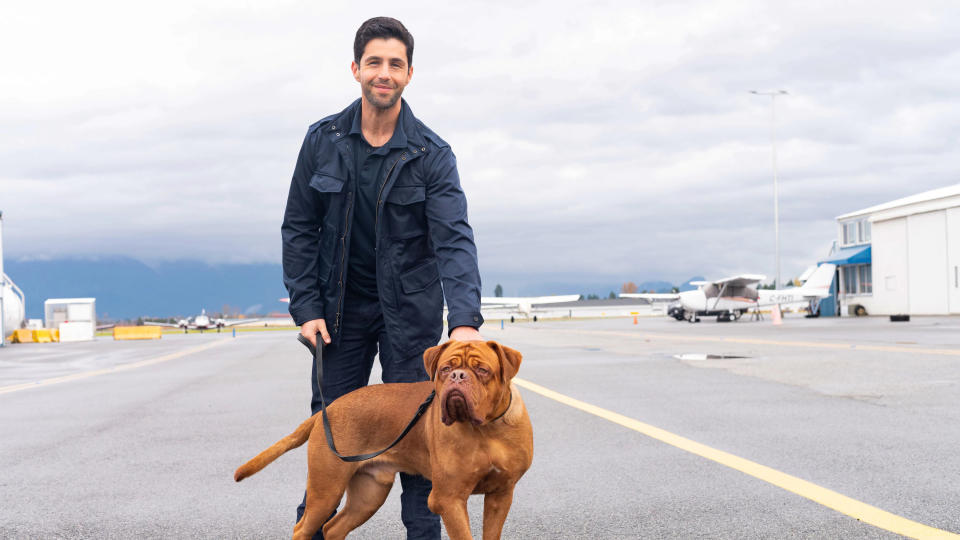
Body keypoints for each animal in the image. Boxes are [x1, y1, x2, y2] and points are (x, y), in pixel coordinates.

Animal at [232, 340, 532, 536]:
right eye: (446, 369)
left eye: (482, 370)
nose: (458, 376)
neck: (485, 429)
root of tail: (326, 412)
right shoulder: (449, 498)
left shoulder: (501, 495)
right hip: (326, 488)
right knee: (303, 528)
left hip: (369, 493)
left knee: (333, 527)